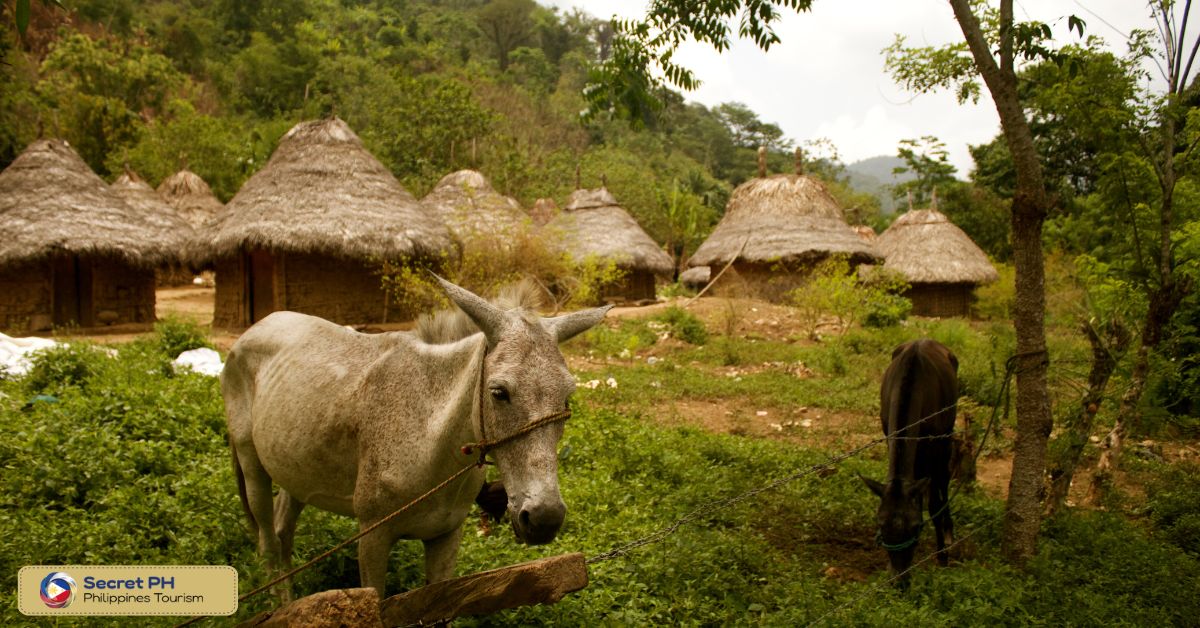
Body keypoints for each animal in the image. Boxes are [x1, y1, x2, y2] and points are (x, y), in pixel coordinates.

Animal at [223, 277, 609, 597]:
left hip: (296, 471)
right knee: (269, 543)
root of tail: (253, 330)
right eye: (499, 392)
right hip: (252, 467)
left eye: (567, 397)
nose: (544, 518)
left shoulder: (445, 539)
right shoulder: (373, 537)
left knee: (282, 531)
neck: (429, 440)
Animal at [859, 338, 960, 585]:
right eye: (880, 525)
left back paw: (949, 533)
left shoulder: (936, 445)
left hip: (947, 436)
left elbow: (934, 504)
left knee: (943, 481)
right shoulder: (889, 434)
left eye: (916, 527)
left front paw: (942, 557)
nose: (900, 582)